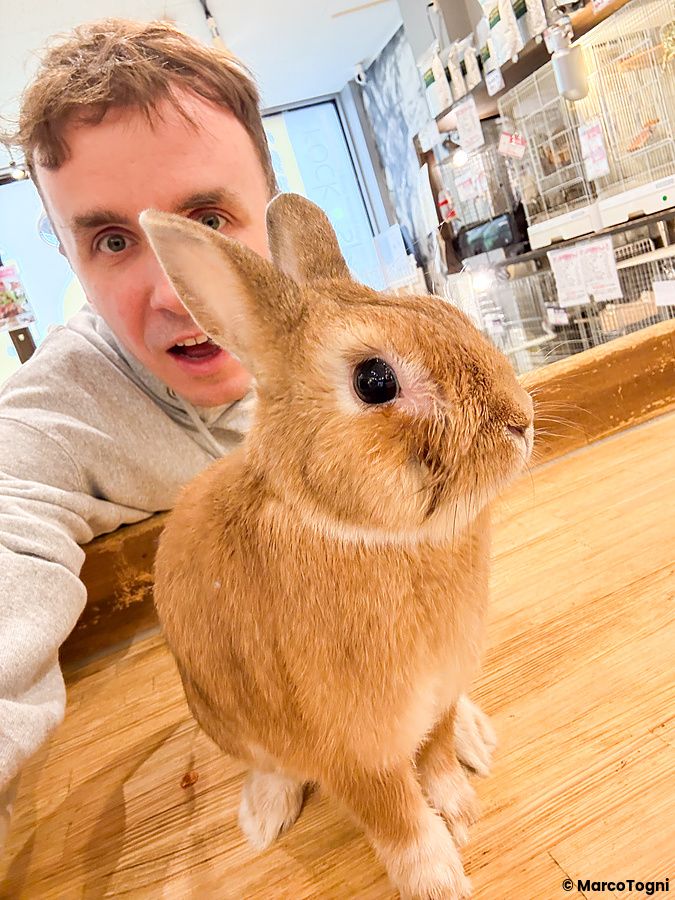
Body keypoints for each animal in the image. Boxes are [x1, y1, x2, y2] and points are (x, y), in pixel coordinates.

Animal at [140, 193, 534, 900]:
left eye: (445, 314)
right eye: (375, 381)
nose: (522, 422)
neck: (363, 533)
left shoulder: (434, 699)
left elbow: (435, 757)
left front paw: (462, 812)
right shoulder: (353, 751)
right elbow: (398, 820)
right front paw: (439, 879)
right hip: (222, 717)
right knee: (269, 765)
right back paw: (262, 816)